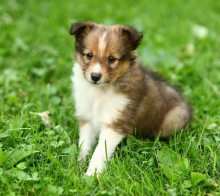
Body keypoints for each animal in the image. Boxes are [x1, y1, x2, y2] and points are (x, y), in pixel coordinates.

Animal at [70, 21, 191, 176]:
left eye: (111, 59)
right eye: (89, 55)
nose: (95, 76)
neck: (100, 91)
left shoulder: (115, 123)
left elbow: (100, 152)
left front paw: (91, 175)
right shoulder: (87, 117)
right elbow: (84, 145)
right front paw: (78, 165)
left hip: (173, 119)